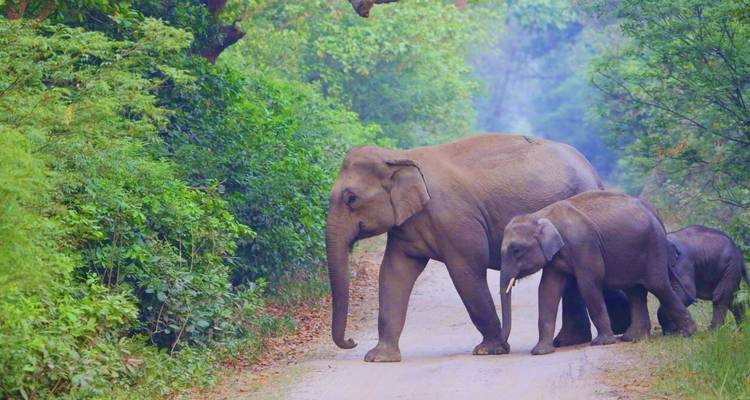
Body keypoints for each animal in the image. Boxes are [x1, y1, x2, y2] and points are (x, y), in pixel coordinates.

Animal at [325, 133, 630, 362]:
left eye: (351, 199)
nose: (351, 341)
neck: (400, 155)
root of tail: (593, 172)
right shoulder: (405, 226)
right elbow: (393, 274)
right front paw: (378, 357)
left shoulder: (458, 221)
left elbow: (466, 273)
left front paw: (489, 350)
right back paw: (569, 340)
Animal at [499, 191, 697, 356]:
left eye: (516, 250)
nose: (505, 347)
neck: (539, 215)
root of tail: (655, 213)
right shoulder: (555, 256)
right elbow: (548, 290)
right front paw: (541, 352)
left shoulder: (584, 245)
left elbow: (588, 284)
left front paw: (602, 342)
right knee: (635, 290)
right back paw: (633, 338)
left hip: (653, 246)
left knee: (657, 285)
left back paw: (688, 333)